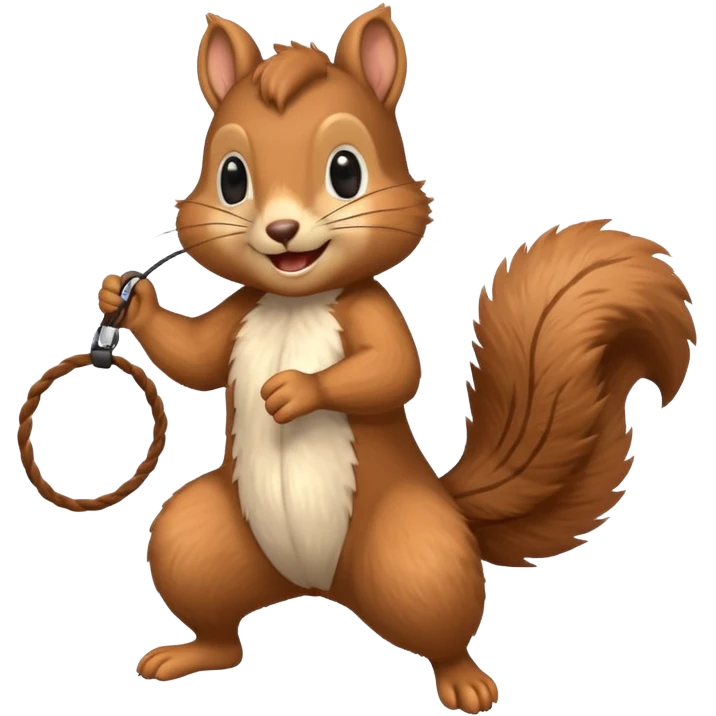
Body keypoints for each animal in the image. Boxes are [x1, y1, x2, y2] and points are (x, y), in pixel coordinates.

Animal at [97, 7, 696, 713]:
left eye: (346, 171)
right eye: (232, 177)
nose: (281, 232)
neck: (296, 301)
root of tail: (314, 587)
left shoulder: (373, 312)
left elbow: (390, 372)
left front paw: (294, 391)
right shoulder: (242, 310)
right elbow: (194, 358)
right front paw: (127, 301)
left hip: (415, 552)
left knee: (441, 626)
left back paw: (465, 682)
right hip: (201, 543)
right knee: (219, 623)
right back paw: (188, 654)